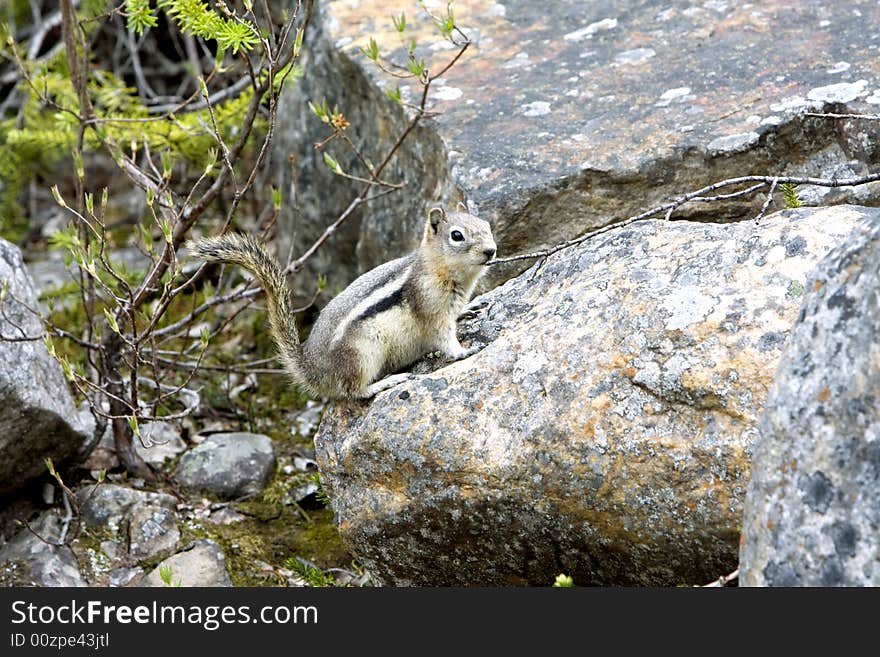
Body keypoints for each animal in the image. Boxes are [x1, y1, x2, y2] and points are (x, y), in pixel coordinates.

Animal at [187, 208, 496, 398]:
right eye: (457, 235)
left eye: (487, 226)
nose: (491, 251)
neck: (439, 270)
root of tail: (312, 369)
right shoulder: (431, 310)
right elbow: (443, 338)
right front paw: (463, 352)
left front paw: (471, 308)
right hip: (362, 355)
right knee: (352, 391)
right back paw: (386, 382)